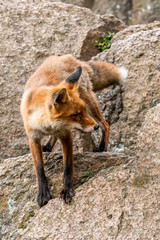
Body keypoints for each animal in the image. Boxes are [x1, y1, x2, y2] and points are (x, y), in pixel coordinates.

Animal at [20, 54, 127, 206]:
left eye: (82, 110)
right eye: (75, 114)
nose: (95, 127)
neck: (45, 124)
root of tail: (68, 57)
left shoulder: (66, 135)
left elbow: (67, 166)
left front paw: (67, 190)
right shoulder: (33, 137)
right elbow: (39, 169)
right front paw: (42, 193)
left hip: (90, 101)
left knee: (106, 124)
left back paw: (102, 147)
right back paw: (48, 146)